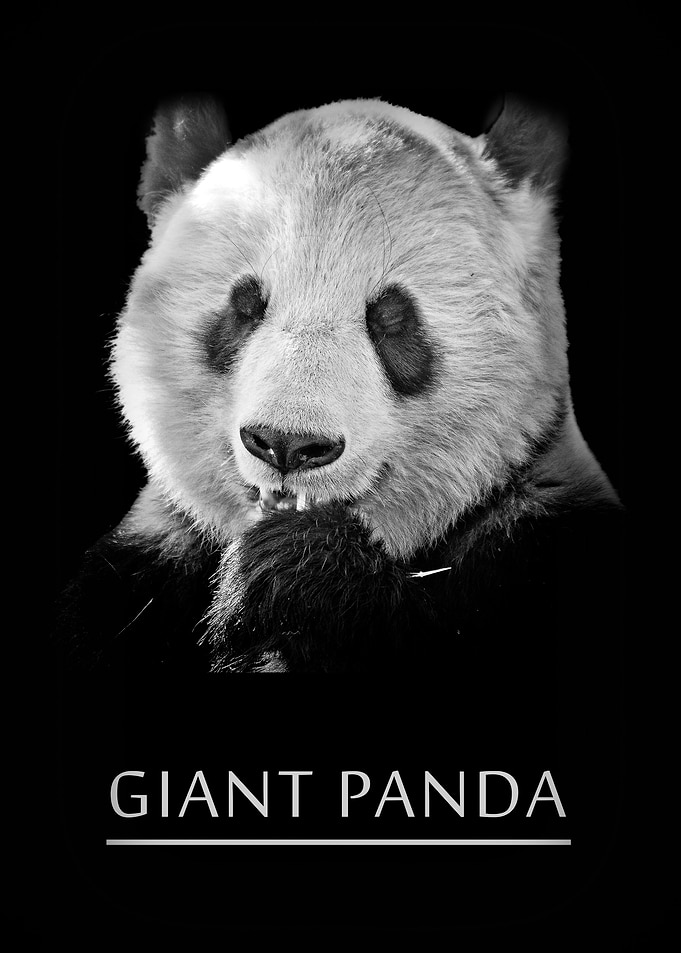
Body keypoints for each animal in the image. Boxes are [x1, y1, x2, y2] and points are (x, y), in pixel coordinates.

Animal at [57, 94, 623, 676]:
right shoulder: (139, 573)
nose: (287, 444)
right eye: (245, 306)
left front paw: (297, 573)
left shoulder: (542, 543)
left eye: (391, 318)